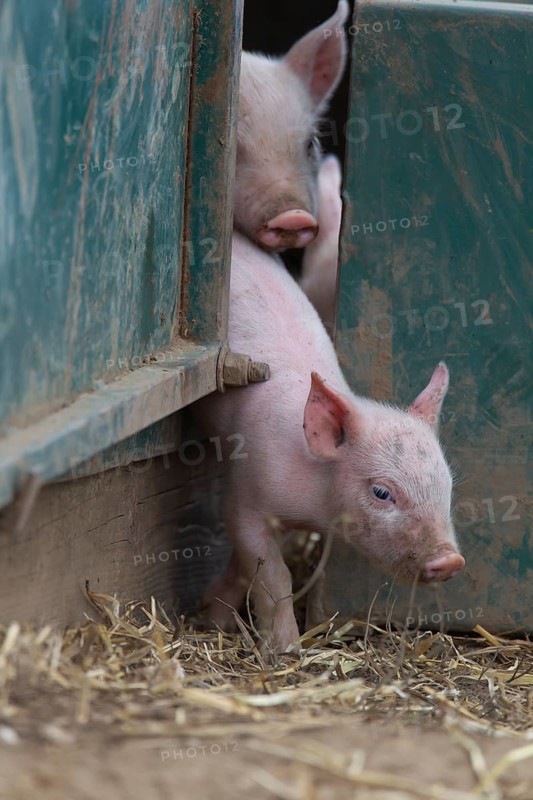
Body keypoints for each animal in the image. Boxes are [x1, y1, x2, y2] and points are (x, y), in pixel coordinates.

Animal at [196, 189, 464, 655]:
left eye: (445, 485)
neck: (316, 501)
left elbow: (247, 568)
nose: (450, 560)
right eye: (382, 493)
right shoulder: (246, 499)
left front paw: (215, 617)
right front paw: (285, 650)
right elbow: (273, 574)